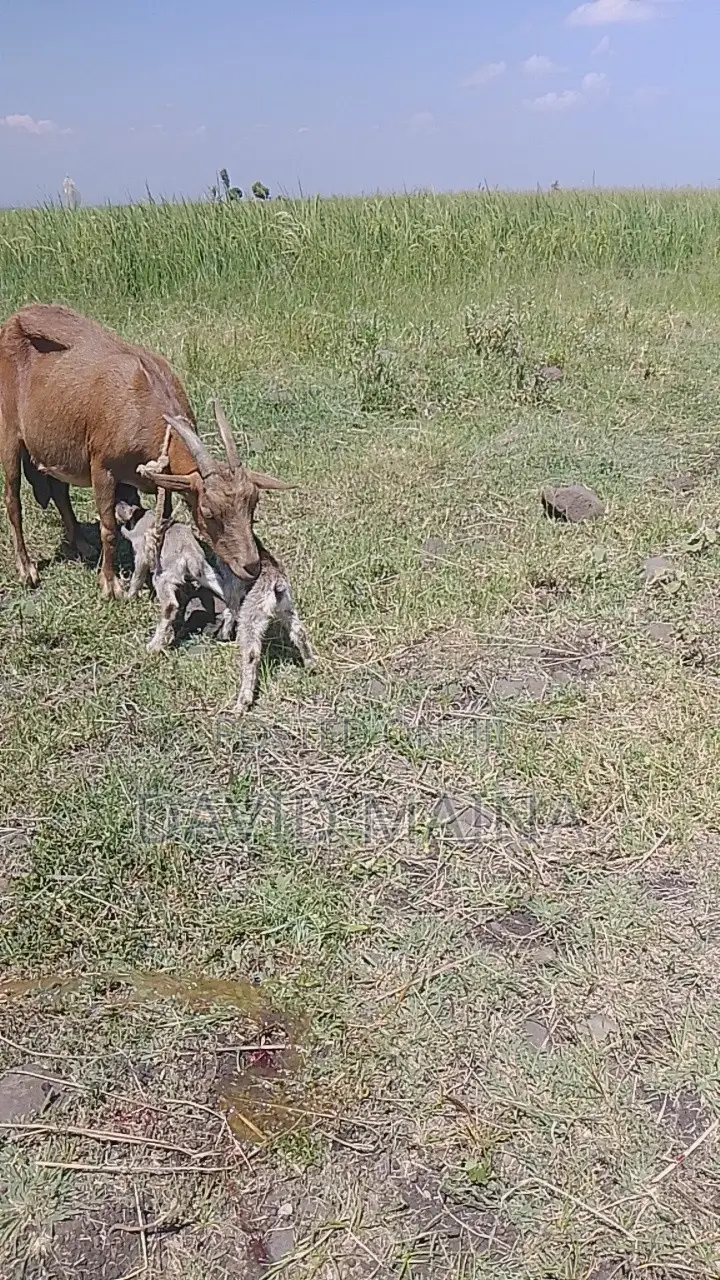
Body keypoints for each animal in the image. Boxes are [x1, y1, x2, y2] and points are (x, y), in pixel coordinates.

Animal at [0, 304, 288, 598]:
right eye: (208, 512)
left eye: (253, 503)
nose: (251, 566)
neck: (143, 405)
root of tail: (14, 319)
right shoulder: (102, 467)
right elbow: (108, 528)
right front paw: (110, 583)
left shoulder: (165, 478)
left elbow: (164, 522)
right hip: (9, 430)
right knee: (13, 499)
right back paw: (26, 569)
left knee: (59, 489)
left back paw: (80, 542)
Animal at [115, 501, 318, 713]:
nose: (120, 503)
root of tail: (276, 584)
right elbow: (229, 608)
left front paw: (129, 595)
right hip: (286, 608)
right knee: (298, 632)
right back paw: (310, 663)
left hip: (249, 617)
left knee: (250, 653)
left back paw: (242, 701)